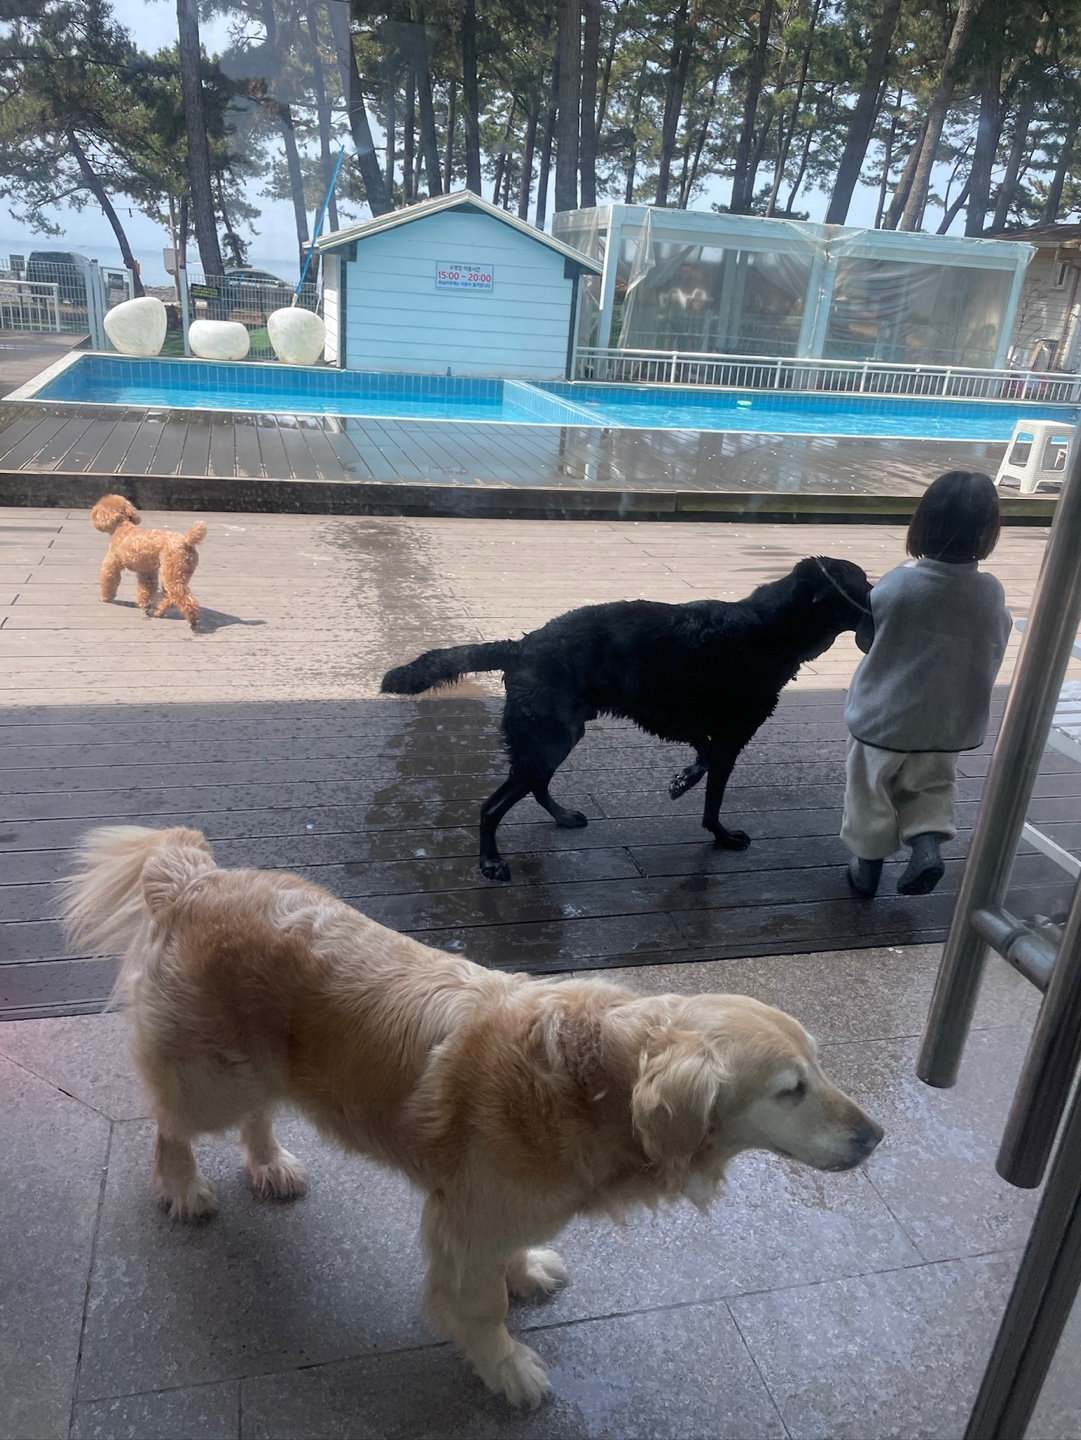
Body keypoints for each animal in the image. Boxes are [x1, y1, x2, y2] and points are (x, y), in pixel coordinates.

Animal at [62, 825, 883, 1410]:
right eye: (789, 1089)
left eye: (818, 1067)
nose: (876, 1136)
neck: (590, 1084)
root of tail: (194, 875)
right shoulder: (463, 1216)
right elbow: (478, 1305)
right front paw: (506, 1366)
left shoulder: (496, 1205)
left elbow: (507, 1255)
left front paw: (524, 1272)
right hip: (210, 1077)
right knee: (172, 1122)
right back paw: (182, 1185)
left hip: (260, 1065)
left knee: (257, 1114)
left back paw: (268, 1164)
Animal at [90, 494, 207, 630]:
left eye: (98, 509)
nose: (92, 514)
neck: (122, 527)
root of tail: (187, 541)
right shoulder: (147, 572)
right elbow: (146, 589)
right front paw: (144, 604)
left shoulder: (111, 565)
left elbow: (108, 581)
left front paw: (105, 597)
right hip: (180, 573)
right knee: (171, 597)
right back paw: (158, 611)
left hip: (173, 573)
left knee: (183, 598)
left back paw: (192, 619)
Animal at [381, 556, 872, 880]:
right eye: (864, 582)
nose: (880, 596)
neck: (769, 625)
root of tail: (521, 645)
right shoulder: (729, 739)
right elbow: (712, 795)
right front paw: (721, 834)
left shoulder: (692, 726)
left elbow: (702, 755)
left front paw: (682, 781)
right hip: (550, 740)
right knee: (491, 806)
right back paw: (490, 861)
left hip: (559, 736)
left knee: (534, 787)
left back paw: (562, 817)